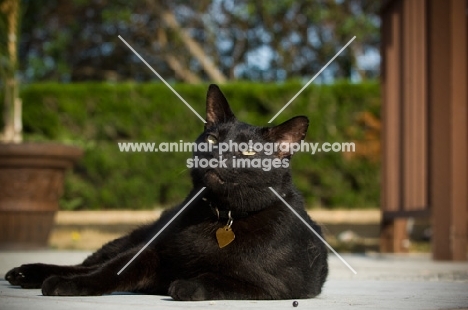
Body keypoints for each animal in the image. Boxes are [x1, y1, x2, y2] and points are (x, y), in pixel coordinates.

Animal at [4, 84, 326, 300]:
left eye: (247, 152)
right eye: (212, 138)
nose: (216, 154)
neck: (222, 216)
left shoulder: (275, 285)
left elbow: (224, 278)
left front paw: (187, 283)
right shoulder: (149, 252)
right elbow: (109, 272)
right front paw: (72, 286)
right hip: (133, 240)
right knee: (87, 264)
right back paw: (29, 273)